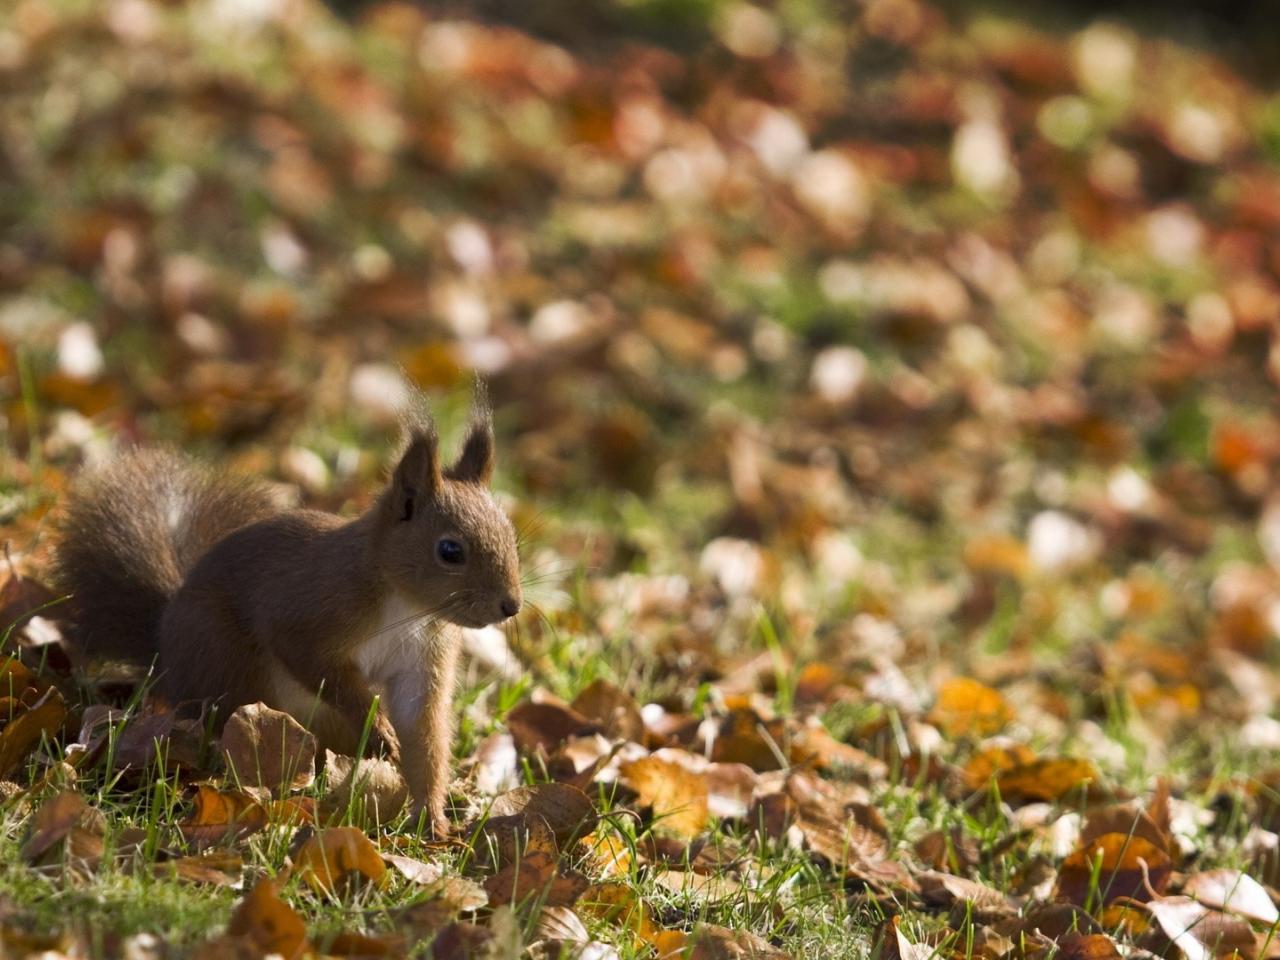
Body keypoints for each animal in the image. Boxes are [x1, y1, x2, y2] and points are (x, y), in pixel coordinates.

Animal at [49, 407, 519, 834]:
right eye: (450, 551)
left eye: (510, 534)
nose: (511, 605)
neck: (407, 606)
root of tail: (166, 647)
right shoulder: (308, 610)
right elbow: (310, 659)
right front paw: (379, 729)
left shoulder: (424, 657)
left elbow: (422, 727)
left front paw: (433, 820)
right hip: (227, 663)